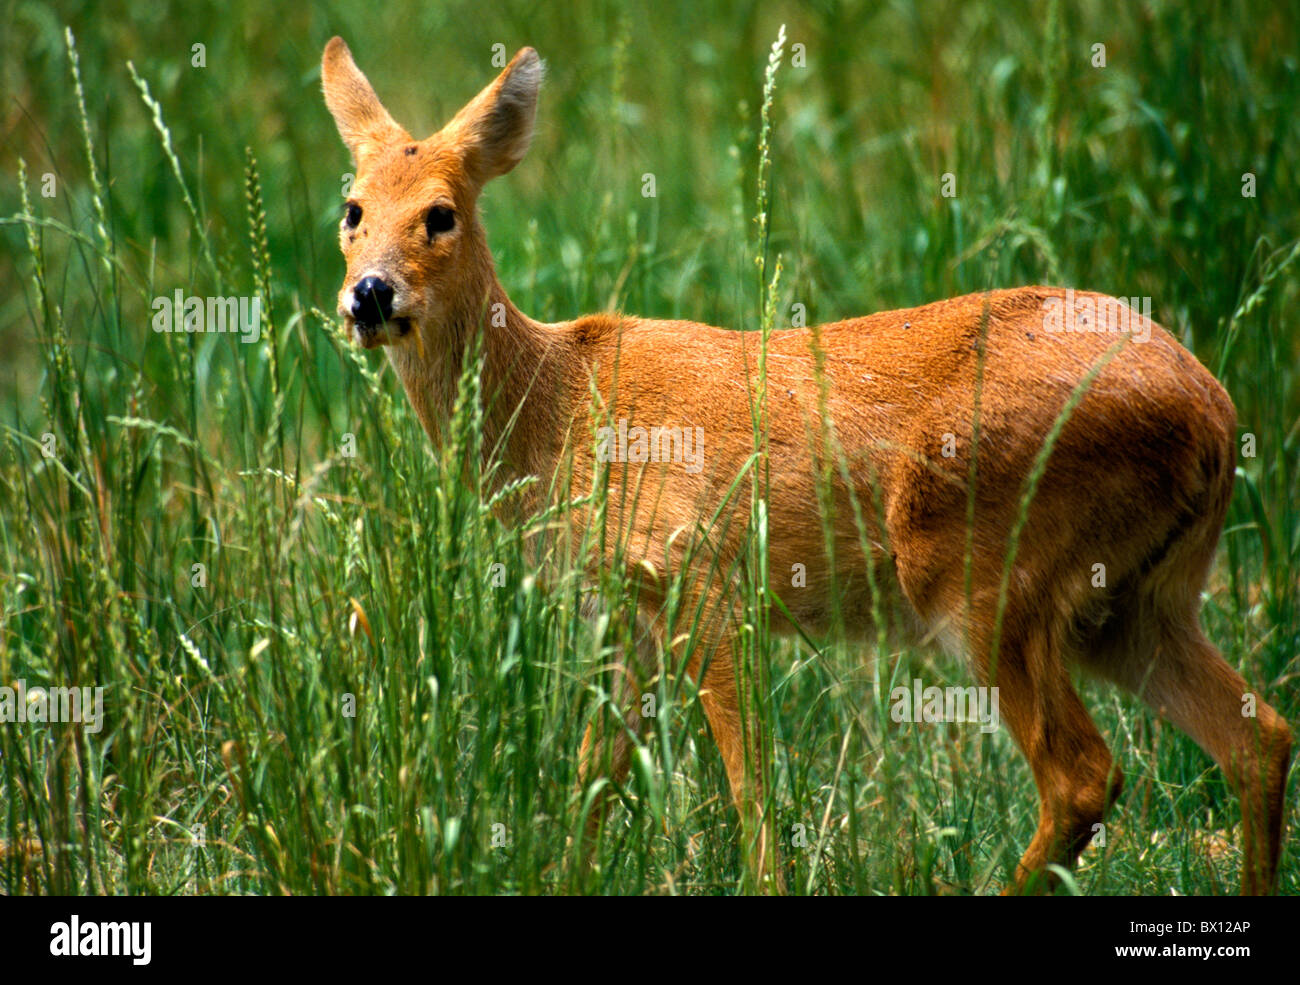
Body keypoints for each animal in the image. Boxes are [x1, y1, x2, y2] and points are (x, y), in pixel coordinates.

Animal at [322, 36, 1289, 894]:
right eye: (352, 209)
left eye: (441, 213)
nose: (369, 294)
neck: (559, 405)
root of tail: (1215, 411)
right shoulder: (625, 620)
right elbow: (593, 786)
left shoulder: (704, 576)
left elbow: (751, 787)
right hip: (1134, 601)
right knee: (1260, 736)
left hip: (986, 572)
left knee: (1083, 774)